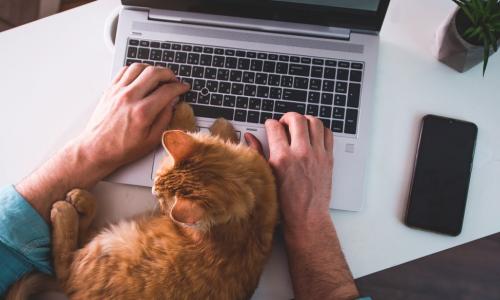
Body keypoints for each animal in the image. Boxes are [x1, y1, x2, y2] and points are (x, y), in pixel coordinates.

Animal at [7, 102, 278, 300]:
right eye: (155, 184)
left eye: (161, 199)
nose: (158, 204)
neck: (250, 211)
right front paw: (218, 125)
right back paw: (81, 200)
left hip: (108, 246)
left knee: (63, 263)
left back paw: (68, 208)